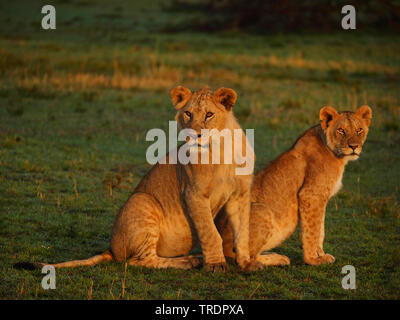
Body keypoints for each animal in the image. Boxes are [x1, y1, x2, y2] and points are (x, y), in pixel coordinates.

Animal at [18, 86, 253, 272]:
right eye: (187, 113)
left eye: (209, 114)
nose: (193, 134)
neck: (222, 148)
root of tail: (111, 249)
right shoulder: (193, 193)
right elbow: (210, 232)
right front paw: (215, 264)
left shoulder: (240, 195)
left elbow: (243, 230)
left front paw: (247, 262)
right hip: (143, 201)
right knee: (140, 261)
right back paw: (191, 261)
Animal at [217, 106, 374, 268]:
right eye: (341, 130)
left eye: (359, 130)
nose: (354, 146)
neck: (337, 155)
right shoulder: (310, 194)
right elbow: (312, 231)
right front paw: (313, 259)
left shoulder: (320, 199)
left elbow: (320, 229)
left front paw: (321, 254)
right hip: (263, 211)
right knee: (244, 256)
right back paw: (278, 259)